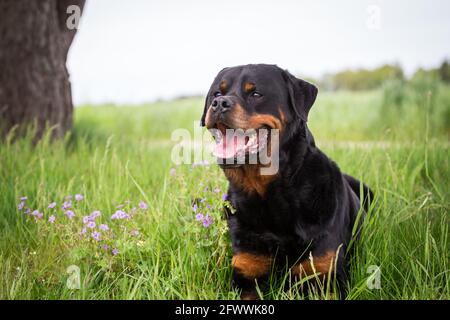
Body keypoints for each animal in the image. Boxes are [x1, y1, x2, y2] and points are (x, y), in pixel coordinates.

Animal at [200, 63, 372, 298]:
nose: (219, 103)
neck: (269, 194)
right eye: (217, 93)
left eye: (255, 93)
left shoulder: (326, 274)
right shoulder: (246, 271)